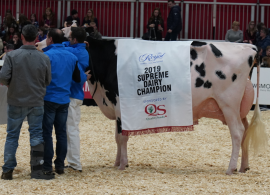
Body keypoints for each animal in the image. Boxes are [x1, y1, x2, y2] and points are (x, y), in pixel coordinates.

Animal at [86, 38, 266, 175]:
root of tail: (249, 47)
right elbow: (117, 137)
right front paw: (117, 162)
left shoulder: (120, 106)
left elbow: (122, 137)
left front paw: (123, 164)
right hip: (239, 109)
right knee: (245, 131)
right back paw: (243, 167)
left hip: (228, 104)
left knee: (237, 133)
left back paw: (231, 168)